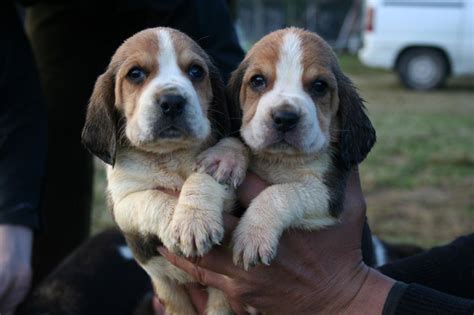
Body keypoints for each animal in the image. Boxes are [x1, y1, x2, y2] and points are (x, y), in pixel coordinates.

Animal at [80, 27, 248, 315]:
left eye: (196, 72)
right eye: (135, 74)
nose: (172, 101)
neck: (169, 156)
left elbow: (203, 177)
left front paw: (193, 220)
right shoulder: (122, 204)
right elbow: (151, 196)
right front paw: (175, 221)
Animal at [228, 27, 376, 270]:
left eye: (319, 86)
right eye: (258, 81)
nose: (285, 118)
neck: (282, 160)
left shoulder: (328, 194)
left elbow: (281, 192)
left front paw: (253, 234)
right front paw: (223, 157)